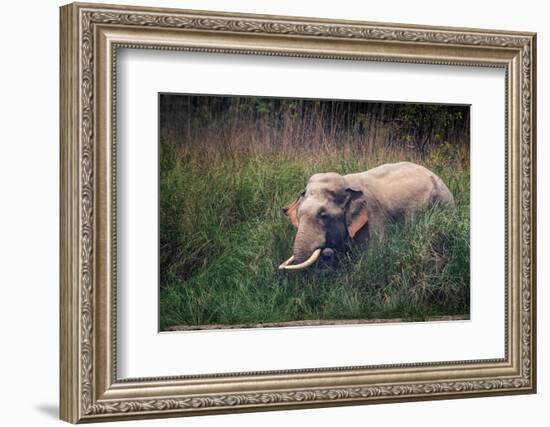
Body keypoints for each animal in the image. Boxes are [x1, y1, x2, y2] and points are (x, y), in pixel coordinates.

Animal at [280, 160, 458, 270]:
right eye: (299, 214)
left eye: (323, 215)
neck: (346, 183)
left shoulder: (373, 218)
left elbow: (372, 257)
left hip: (444, 205)